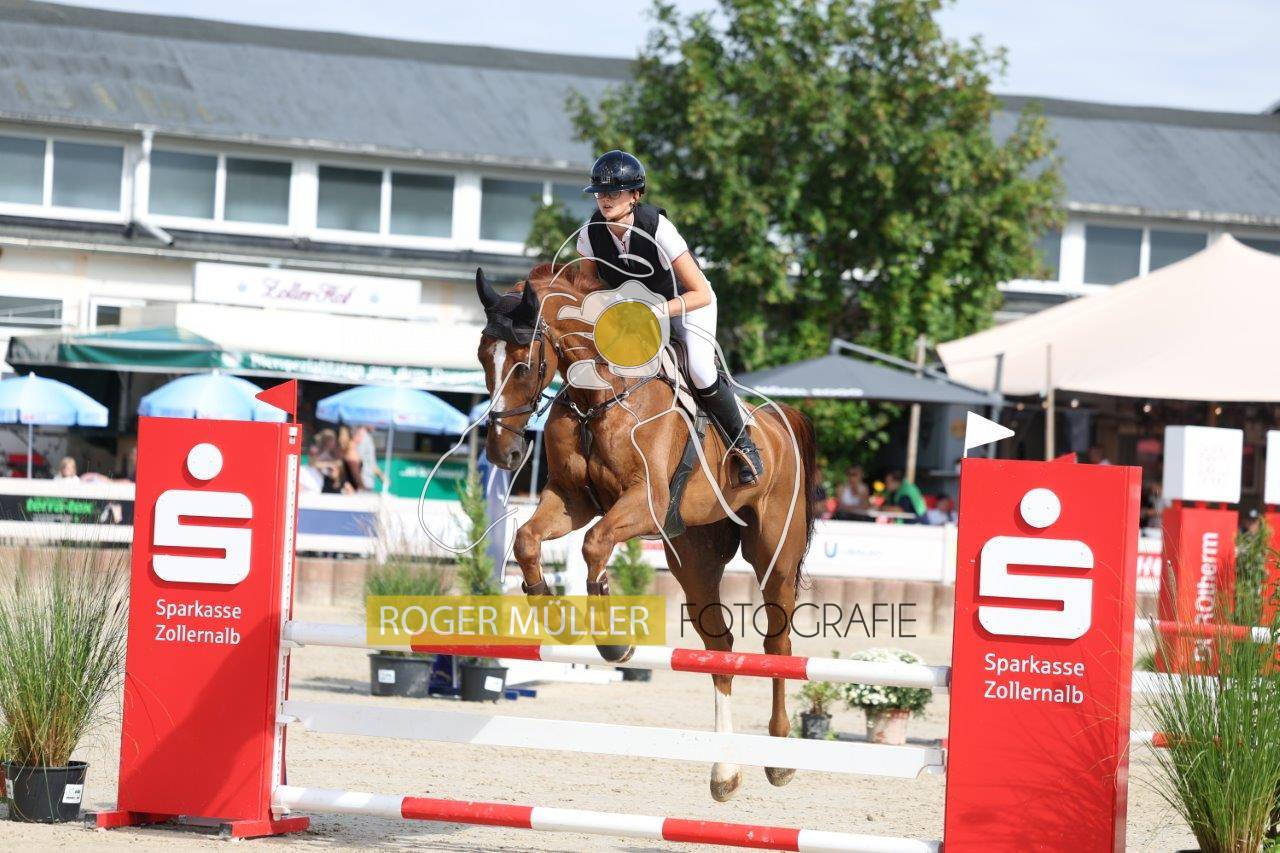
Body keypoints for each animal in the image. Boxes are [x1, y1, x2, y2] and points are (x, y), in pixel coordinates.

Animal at [474, 262, 819, 802]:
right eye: (481, 357)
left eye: (524, 365)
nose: (502, 453)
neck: (596, 397)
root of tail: (779, 422)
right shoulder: (571, 501)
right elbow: (527, 541)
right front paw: (555, 616)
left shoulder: (646, 503)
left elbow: (595, 543)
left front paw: (613, 642)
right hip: (692, 556)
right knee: (720, 645)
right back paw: (724, 774)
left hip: (774, 555)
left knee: (776, 646)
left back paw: (779, 757)